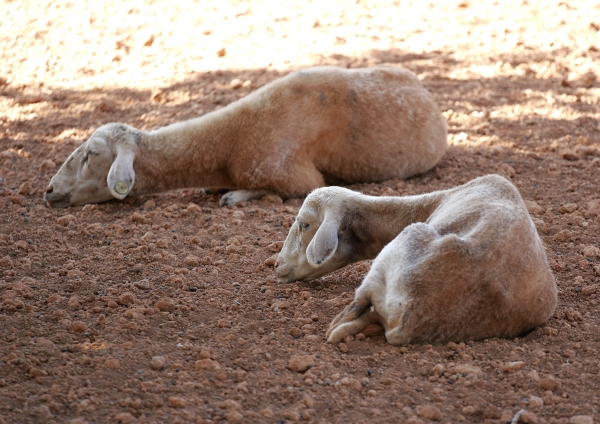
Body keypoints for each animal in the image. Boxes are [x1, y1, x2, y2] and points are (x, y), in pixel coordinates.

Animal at [43, 66, 446, 209]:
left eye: (90, 154)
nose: (48, 191)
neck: (228, 144)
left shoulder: (294, 175)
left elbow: (274, 189)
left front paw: (234, 196)